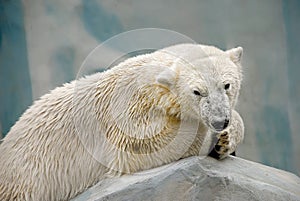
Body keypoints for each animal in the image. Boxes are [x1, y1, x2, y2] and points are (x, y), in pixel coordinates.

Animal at [0, 43, 244, 200]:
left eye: (226, 85)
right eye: (197, 92)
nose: (220, 122)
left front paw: (226, 140)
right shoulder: (127, 111)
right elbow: (135, 148)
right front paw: (209, 138)